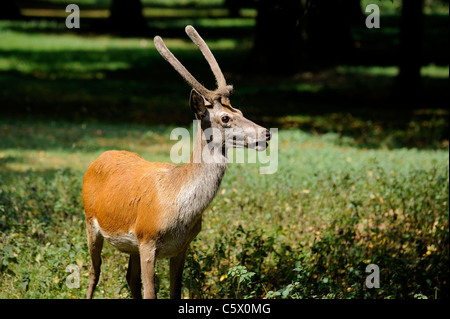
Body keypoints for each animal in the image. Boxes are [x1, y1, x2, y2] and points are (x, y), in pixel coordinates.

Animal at [81, 25, 270, 300]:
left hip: (130, 245)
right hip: (90, 221)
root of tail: (98, 158)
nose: (266, 133)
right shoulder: (147, 239)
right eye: (225, 118)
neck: (178, 209)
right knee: (94, 272)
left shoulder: (182, 247)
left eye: (242, 112)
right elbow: (151, 293)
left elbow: (175, 292)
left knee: (129, 277)